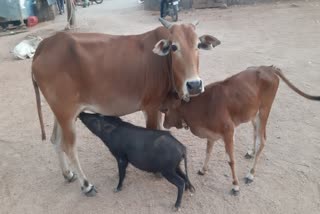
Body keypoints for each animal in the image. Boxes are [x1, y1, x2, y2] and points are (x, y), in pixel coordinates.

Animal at [31, 18, 221, 196]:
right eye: (174, 47)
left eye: (198, 45)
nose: (194, 85)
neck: (165, 64)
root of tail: (44, 45)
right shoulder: (150, 107)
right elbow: (153, 131)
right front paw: (157, 172)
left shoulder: (158, 107)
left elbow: (159, 130)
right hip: (67, 113)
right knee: (69, 147)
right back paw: (86, 185)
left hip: (60, 113)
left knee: (55, 140)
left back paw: (68, 174)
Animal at [162, 66, 320, 195]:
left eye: (166, 109)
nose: (164, 124)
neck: (203, 106)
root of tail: (269, 68)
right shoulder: (211, 134)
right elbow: (208, 152)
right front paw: (203, 169)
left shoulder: (228, 132)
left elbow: (231, 161)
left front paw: (235, 186)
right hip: (252, 113)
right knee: (256, 133)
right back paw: (251, 152)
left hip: (264, 110)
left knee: (262, 139)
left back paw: (251, 174)